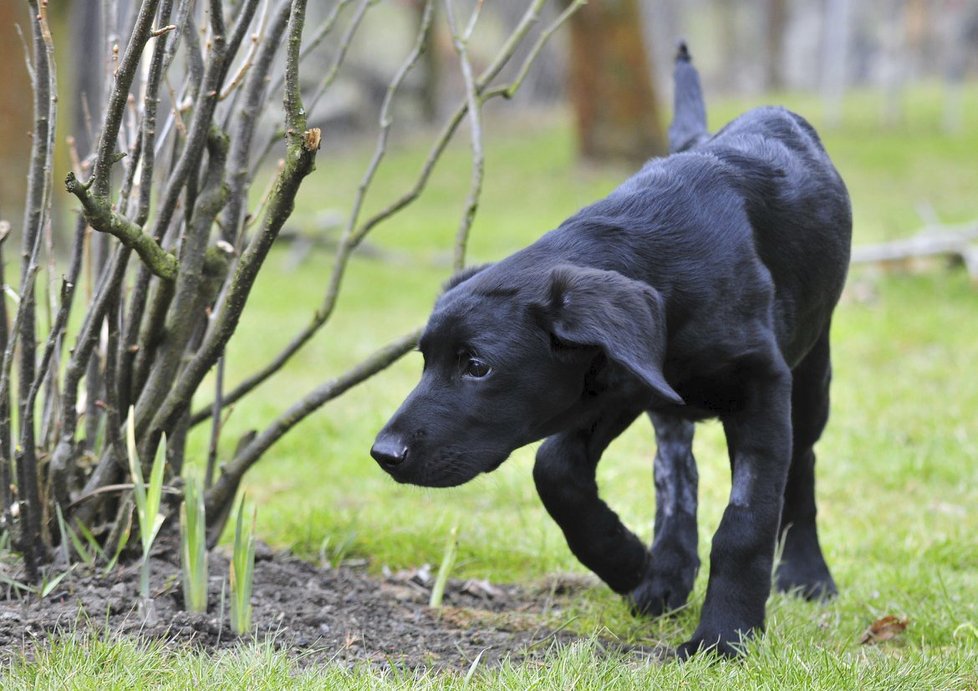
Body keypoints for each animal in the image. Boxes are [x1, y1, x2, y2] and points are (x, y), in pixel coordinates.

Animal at [370, 46, 852, 656]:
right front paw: (627, 562)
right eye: (424, 361)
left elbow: (746, 520)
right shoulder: (613, 385)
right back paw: (666, 573)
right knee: (676, 469)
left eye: (477, 366)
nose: (384, 453)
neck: (662, 266)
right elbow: (555, 470)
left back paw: (807, 575)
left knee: (801, 464)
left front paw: (723, 639)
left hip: (812, 371)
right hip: (665, 402)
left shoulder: (761, 387)